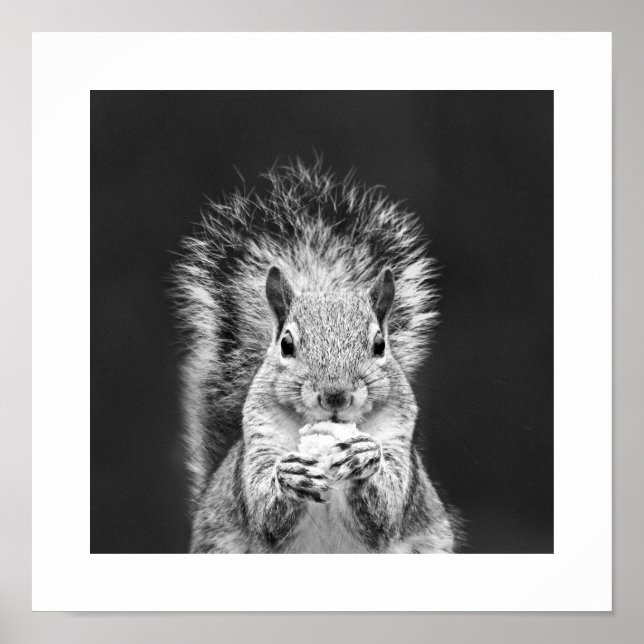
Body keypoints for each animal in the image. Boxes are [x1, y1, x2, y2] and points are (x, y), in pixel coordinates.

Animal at [172, 160, 457, 553]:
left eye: (380, 345)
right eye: (286, 344)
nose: (335, 396)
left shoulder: (398, 437)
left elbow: (386, 511)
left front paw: (364, 457)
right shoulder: (259, 438)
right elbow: (265, 514)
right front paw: (288, 477)